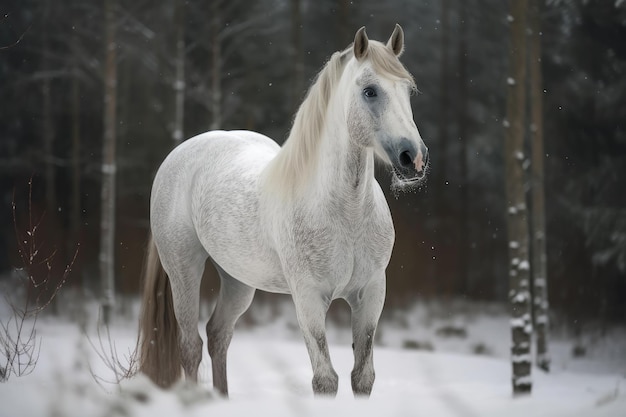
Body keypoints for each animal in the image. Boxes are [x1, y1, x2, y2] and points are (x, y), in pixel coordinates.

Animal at [138, 24, 426, 394]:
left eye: (408, 90)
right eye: (370, 91)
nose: (414, 158)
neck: (344, 213)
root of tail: (179, 154)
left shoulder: (371, 293)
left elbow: (362, 377)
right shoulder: (308, 297)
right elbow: (325, 379)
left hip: (238, 280)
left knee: (218, 335)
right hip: (183, 269)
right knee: (191, 347)